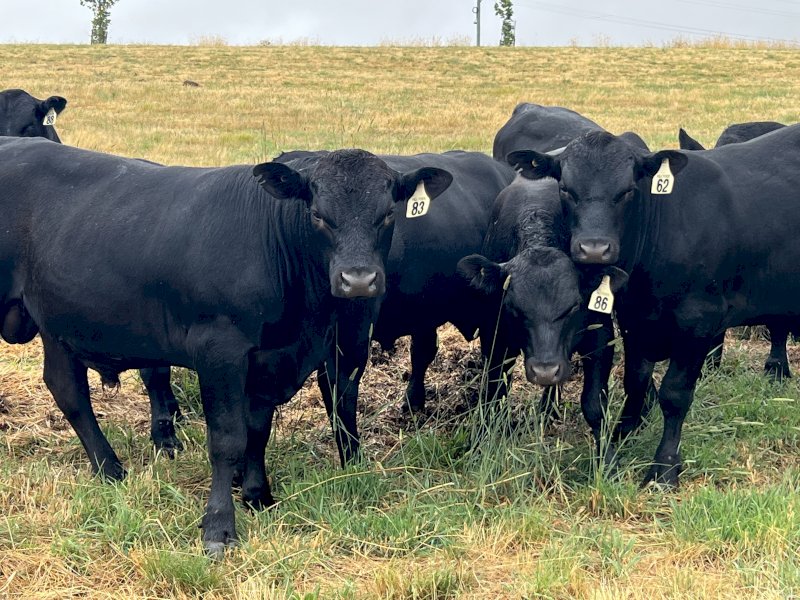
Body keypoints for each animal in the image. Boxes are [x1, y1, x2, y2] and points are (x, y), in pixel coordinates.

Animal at [0, 137, 452, 555]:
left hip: (56, 324)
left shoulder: (269, 358)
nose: (358, 280)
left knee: (67, 389)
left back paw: (110, 469)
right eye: (318, 215)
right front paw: (219, 527)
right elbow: (228, 438)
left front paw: (257, 495)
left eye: (388, 213)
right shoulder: (220, 351)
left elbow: (257, 430)